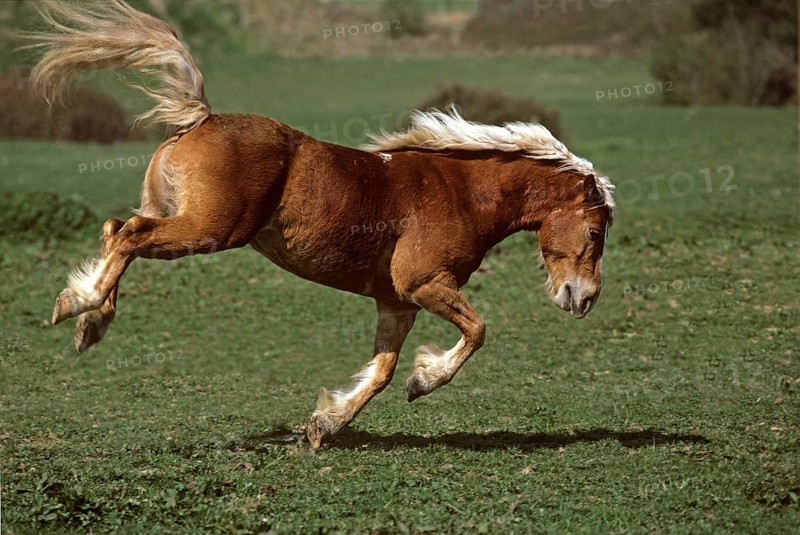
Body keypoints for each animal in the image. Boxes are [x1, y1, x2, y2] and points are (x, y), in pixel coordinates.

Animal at [28, 0, 615, 448]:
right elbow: (476, 330)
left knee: (114, 230)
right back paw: (76, 307)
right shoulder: (424, 283)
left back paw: (90, 324)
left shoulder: (397, 301)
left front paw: (324, 425)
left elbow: (381, 372)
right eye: (595, 232)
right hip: (210, 229)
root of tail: (202, 117)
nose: (583, 299)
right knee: (128, 236)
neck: (463, 192)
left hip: (175, 213)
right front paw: (424, 382)